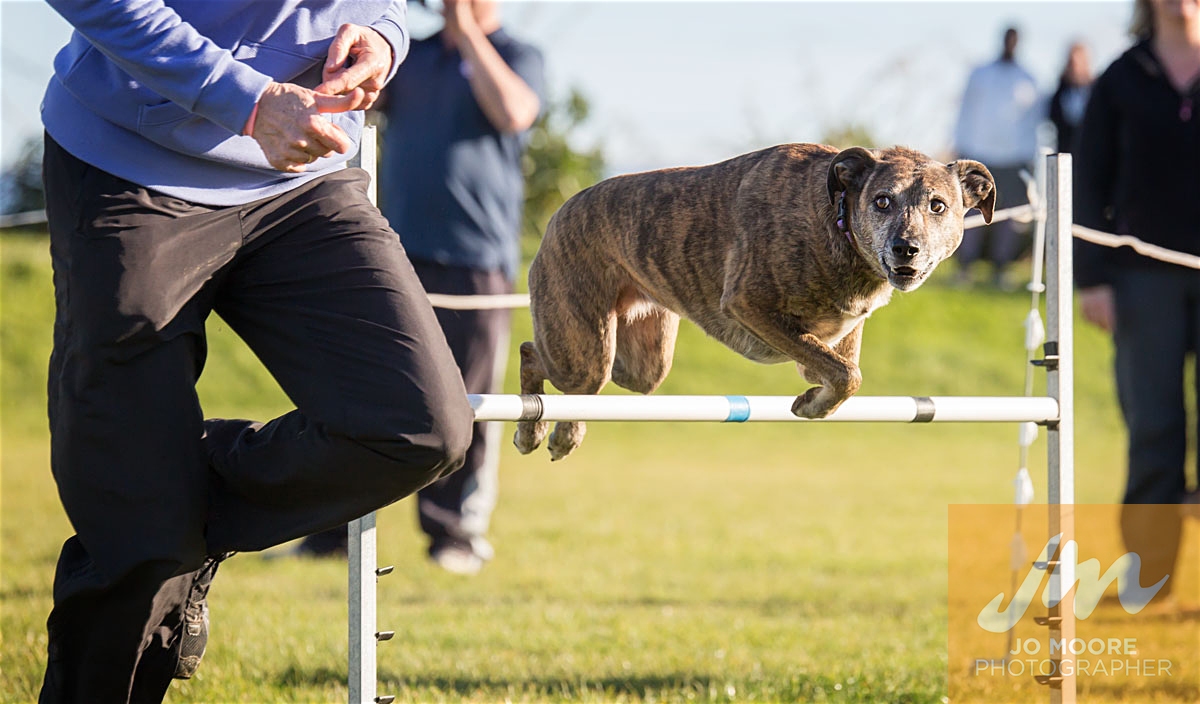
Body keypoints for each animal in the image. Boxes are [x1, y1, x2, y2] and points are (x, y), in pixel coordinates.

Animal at [514, 144, 995, 460]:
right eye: (881, 201)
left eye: (938, 206)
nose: (905, 249)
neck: (835, 221)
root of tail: (558, 213)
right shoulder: (749, 306)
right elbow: (847, 374)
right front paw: (812, 405)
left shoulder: (833, 337)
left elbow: (840, 369)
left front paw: (817, 400)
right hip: (585, 349)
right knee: (535, 355)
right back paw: (535, 432)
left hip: (642, 364)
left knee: (585, 387)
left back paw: (562, 434)